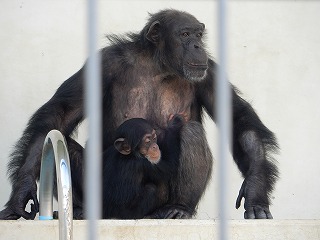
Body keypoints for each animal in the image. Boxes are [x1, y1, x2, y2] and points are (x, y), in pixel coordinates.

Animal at [0, 8, 278, 219]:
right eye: (184, 34)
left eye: (199, 34)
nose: (198, 45)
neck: (158, 65)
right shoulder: (104, 63)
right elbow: (60, 115)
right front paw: (21, 191)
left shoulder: (211, 73)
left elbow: (238, 117)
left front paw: (255, 189)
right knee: (63, 140)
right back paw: (82, 209)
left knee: (191, 130)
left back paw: (179, 208)